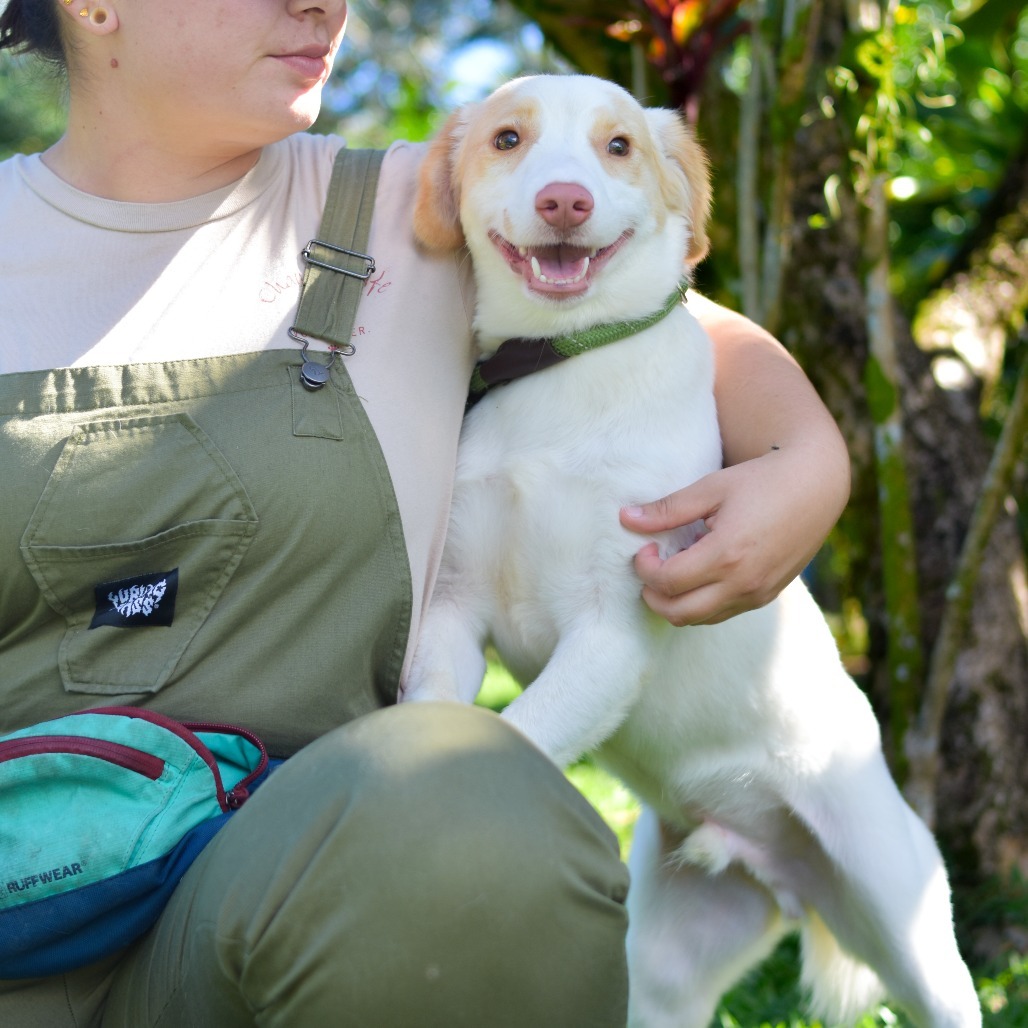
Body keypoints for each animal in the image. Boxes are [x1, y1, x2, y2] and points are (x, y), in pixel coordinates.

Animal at [400, 74, 978, 1028]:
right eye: (508, 139)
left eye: (619, 147)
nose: (566, 201)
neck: (563, 370)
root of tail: (783, 877)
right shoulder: (452, 611)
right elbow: (441, 712)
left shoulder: (612, 630)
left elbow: (521, 731)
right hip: (664, 966)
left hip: (907, 926)